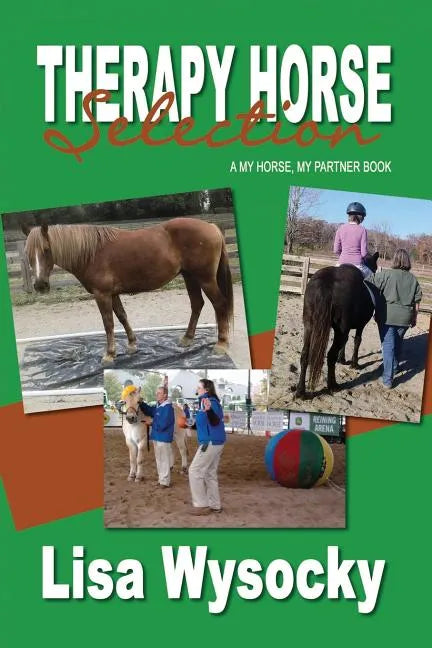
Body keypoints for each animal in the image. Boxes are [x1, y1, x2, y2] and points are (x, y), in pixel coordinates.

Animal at [21, 218, 234, 365]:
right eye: (28, 253)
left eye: (46, 250)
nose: (40, 285)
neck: (91, 253)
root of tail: (212, 227)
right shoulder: (112, 293)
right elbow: (122, 316)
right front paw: (132, 345)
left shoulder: (102, 294)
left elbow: (108, 323)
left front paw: (109, 354)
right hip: (190, 277)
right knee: (197, 304)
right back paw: (187, 339)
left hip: (205, 279)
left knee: (219, 304)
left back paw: (221, 344)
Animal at [296, 252, 380, 398]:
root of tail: (326, 282)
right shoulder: (360, 325)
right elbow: (357, 341)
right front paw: (354, 364)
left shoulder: (346, 328)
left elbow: (346, 343)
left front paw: (343, 359)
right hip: (340, 330)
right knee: (330, 356)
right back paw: (333, 385)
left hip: (310, 325)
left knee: (305, 355)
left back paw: (300, 391)